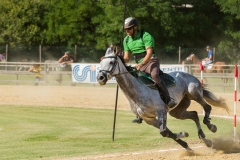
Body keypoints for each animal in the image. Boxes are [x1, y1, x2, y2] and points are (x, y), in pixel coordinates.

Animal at [97, 49, 229, 151]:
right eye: (101, 62)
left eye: (111, 62)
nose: (100, 77)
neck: (136, 92)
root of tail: (189, 74)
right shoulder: (149, 119)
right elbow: (167, 132)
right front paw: (185, 144)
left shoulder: (161, 111)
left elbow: (164, 132)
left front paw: (183, 134)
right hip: (177, 111)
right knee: (194, 114)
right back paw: (206, 140)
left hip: (194, 93)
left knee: (207, 107)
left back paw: (211, 126)